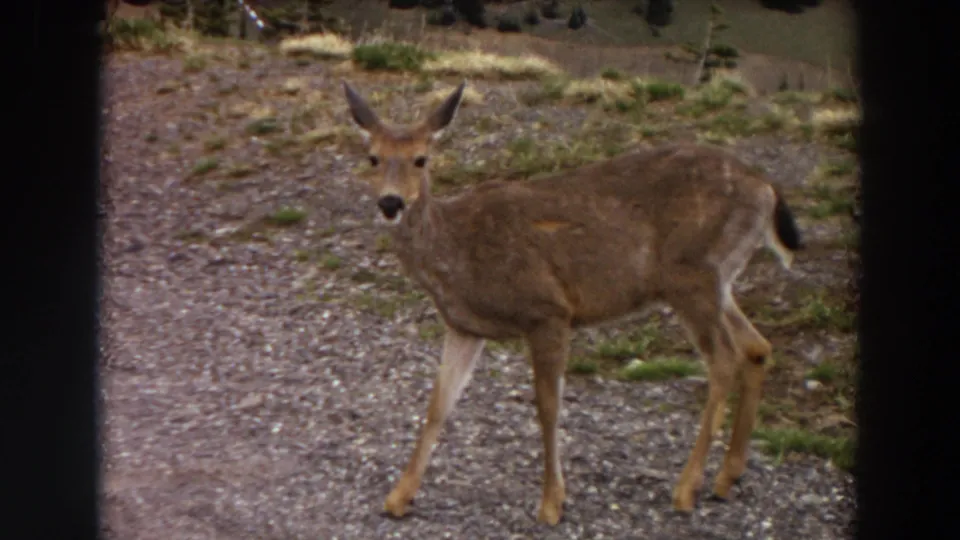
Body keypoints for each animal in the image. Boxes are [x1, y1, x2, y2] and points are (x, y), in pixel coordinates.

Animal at [340, 79, 803, 525]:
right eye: (373, 158)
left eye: (421, 159)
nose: (391, 202)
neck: (457, 253)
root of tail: (766, 189)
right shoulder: (464, 327)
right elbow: (438, 405)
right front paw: (398, 497)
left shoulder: (547, 310)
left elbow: (548, 408)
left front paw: (551, 504)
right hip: (716, 281)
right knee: (756, 346)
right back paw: (727, 478)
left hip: (692, 275)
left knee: (724, 358)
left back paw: (687, 488)